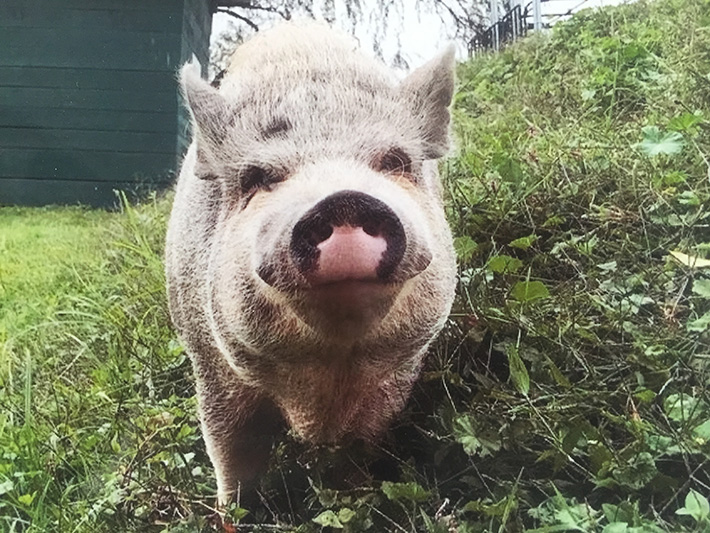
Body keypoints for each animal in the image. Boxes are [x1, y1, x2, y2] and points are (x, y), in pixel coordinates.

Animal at [164, 20, 458, 502]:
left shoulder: (399, 373)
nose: (345, 199)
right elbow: (231, 454)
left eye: (395, 161)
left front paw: (356, 495)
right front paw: (233, 510)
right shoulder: (209, 366)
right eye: (256, 178)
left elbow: (362, 446)